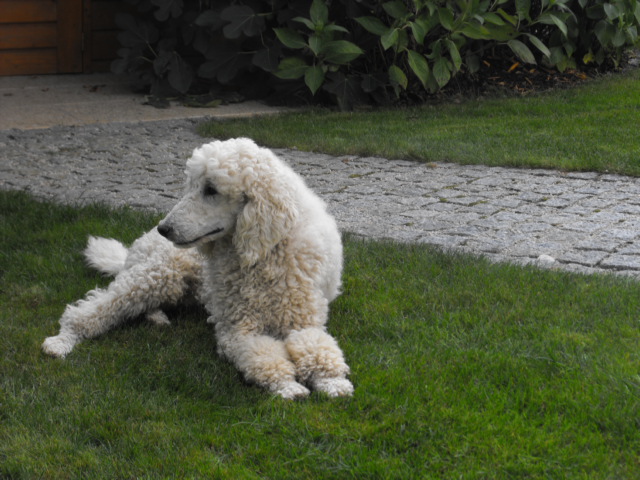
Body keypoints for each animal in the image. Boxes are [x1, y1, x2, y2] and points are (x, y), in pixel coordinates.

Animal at [42, 140, 352, 402]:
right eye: (191, 185)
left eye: (211, 190)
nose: (164, 228)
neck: (263, 254)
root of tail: (137, 246)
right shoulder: (239, 331)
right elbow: (264, 356)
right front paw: (287, 385)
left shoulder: (303, 322)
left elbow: (319, 347)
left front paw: (332, 381)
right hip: (157, 274)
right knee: (90, 311)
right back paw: (61, 341)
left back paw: (156, 317)